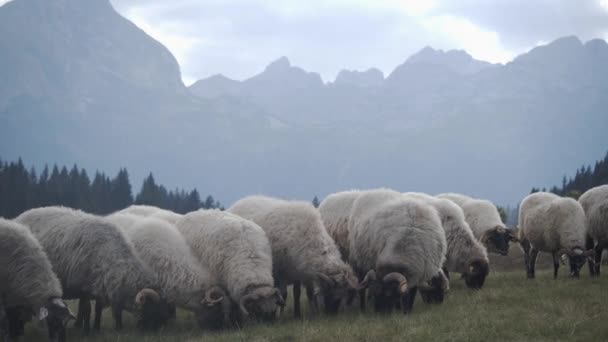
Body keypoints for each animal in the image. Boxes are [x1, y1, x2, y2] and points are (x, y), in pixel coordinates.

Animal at [15, 206, 170, 332]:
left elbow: (98, 309)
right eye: (153, 308)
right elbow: (87, 310)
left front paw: (96, 328)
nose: (159, 329)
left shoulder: (100, 286)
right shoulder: (83, 287)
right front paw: (87, 331)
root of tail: (20, 216)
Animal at [229, 196, 360, 316]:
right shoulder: (282, 272)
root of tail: (241, 200)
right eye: (332, 293)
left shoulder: (298, 271)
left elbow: (301, 293)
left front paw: (305, 313)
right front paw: (281, 314)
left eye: (343, 295)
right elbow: (284, 294)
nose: (331, 314)